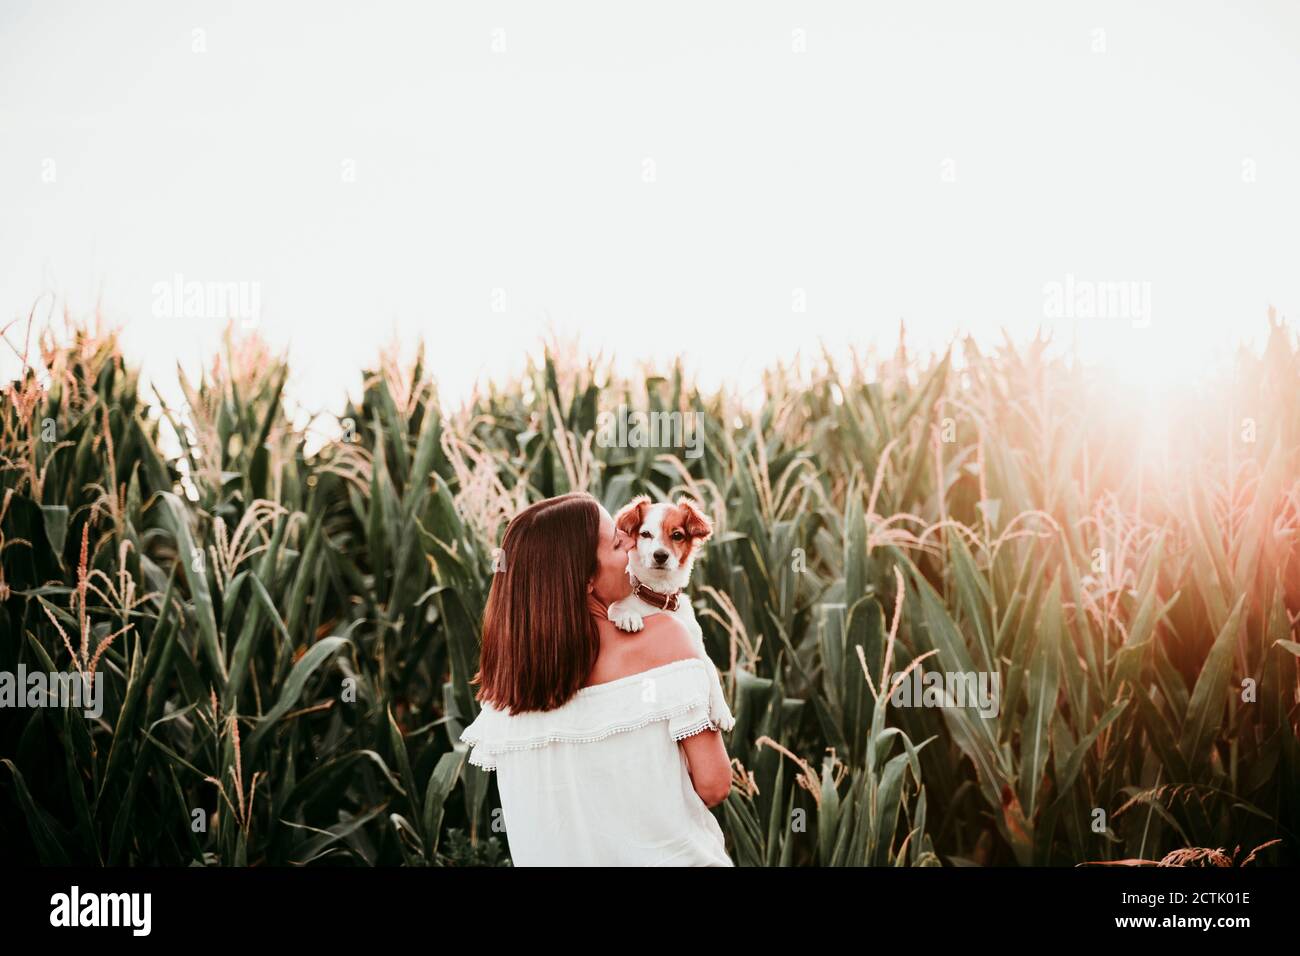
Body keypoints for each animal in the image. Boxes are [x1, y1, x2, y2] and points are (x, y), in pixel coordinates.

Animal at [605, 496, 738, 728]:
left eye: (677, 535)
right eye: (645, 534)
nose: (660, 555)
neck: (659, 597)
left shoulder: (696, 647)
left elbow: (712, 673)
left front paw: (722, 711)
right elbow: (617, 606)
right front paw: (628, 616)